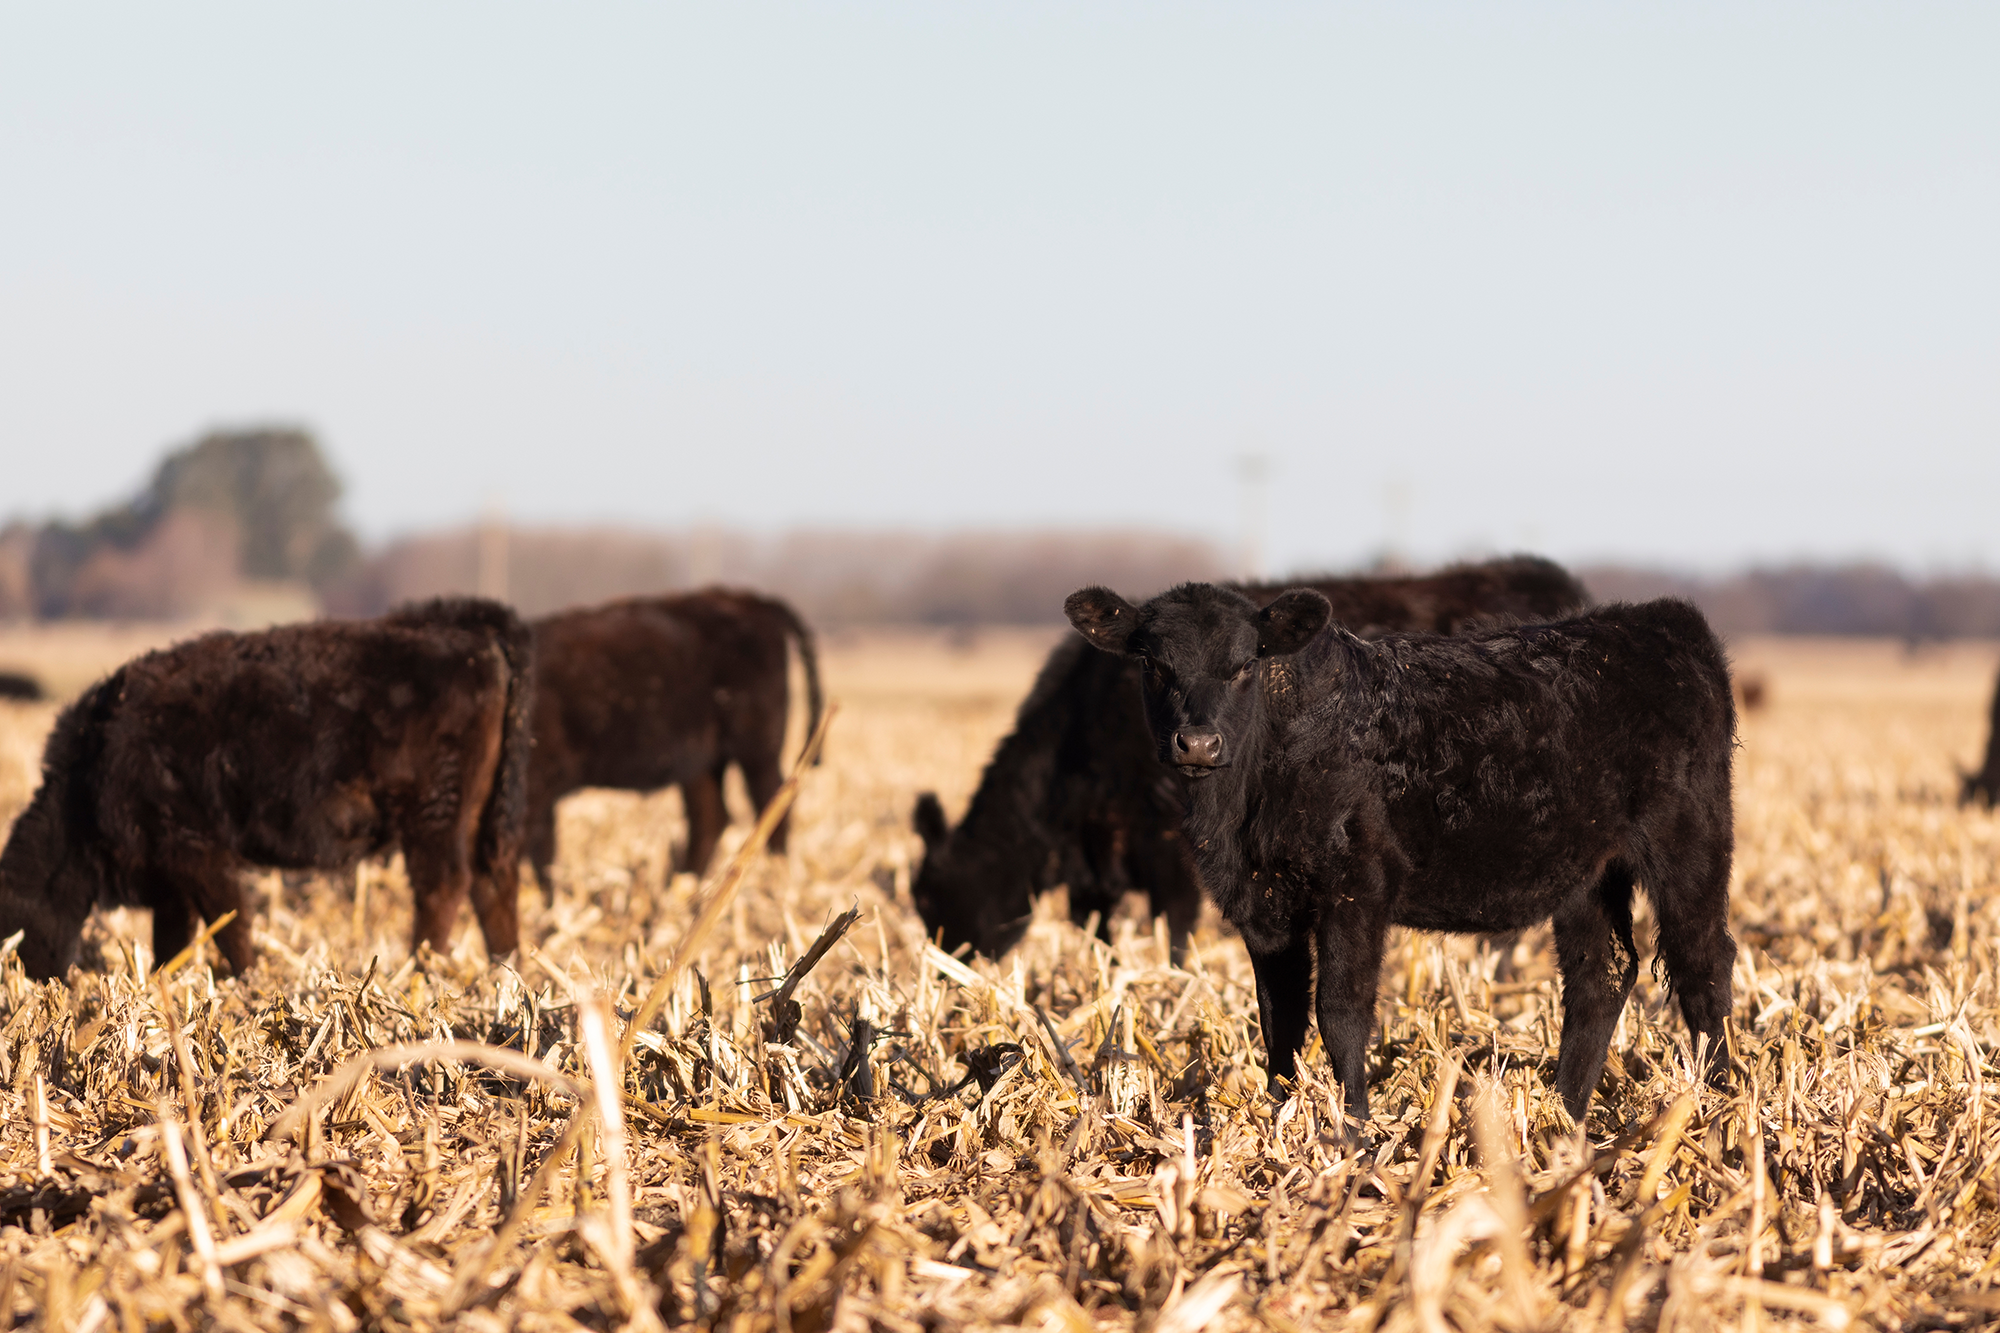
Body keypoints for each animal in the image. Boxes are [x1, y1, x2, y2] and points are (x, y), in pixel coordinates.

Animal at [0, 598, 532, 980]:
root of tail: (473, 633)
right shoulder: (170, 876)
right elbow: (174, 938)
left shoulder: (199, 854)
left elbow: (231, 924)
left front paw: (250, 983)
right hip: (479, 816)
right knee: (492, 881)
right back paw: (505, 971)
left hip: (434, 817)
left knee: (443, 885)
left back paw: (419, 971)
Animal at [526, 589, 823, 898]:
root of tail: (751, 600)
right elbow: (541, 855)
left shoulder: (537, 788)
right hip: (703, 764)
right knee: (710, 819)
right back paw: (681, 888)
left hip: (757, 754)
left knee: (773, 806)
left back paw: (778, 883)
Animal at [910, 556, 1589, 963]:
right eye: (921, 904)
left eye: (939, 900)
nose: (949, 978)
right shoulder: (1098, 866)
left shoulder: (1166, 844)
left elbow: (1175, 934)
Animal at [1063, 582, 1736, 1125]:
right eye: (1153, 663)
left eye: (1245, 663)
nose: (1198, 743)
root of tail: (1660, 619)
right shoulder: (1263, 904)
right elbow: (1279, 1017)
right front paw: (1281, 1119)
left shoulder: (1357, 887)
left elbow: (1340, 1010)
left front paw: (1356, 1129)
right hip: (1587, 871)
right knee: (1602, 972)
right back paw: (1565, 1115)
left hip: (1692, 841)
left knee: (1703, 964)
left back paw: (1723, 1102)